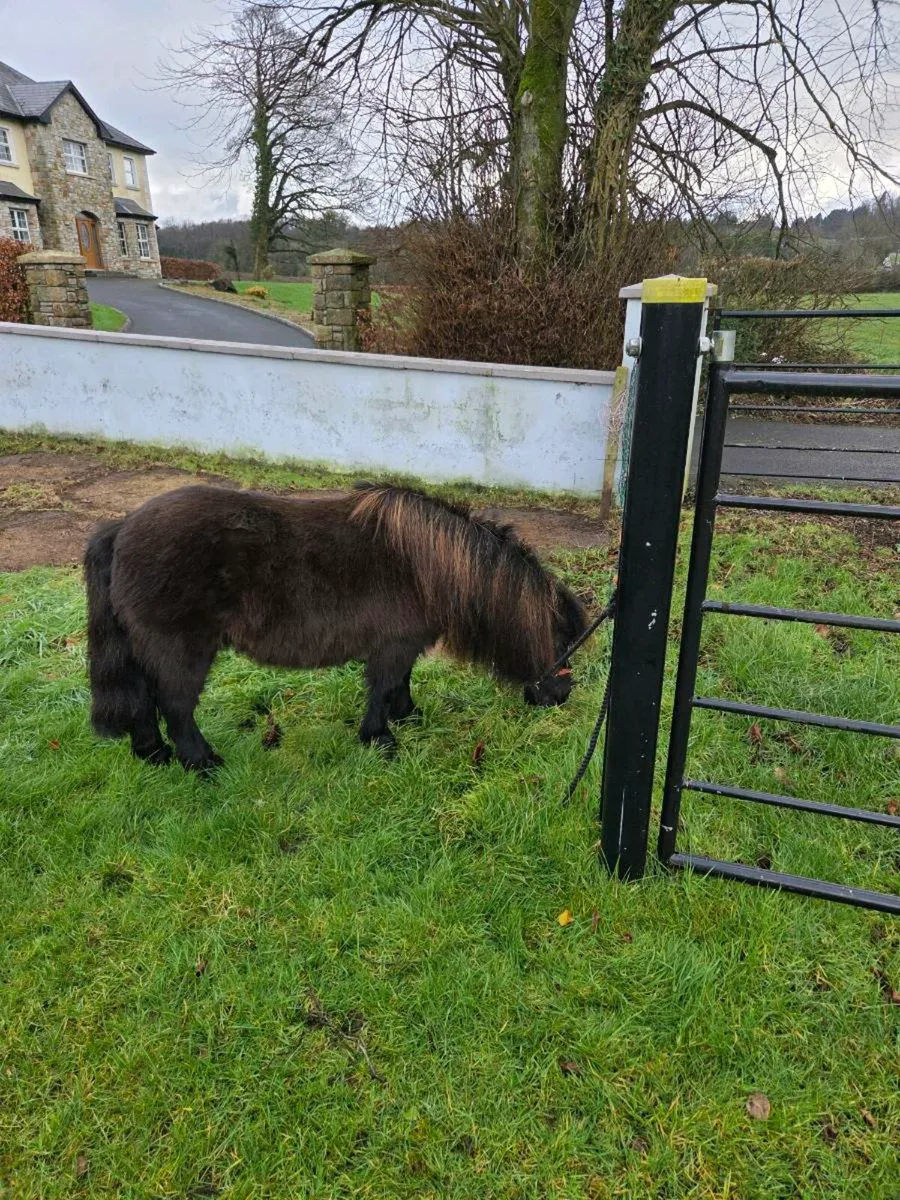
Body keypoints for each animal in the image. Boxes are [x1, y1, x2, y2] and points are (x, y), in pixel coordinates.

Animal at [84, 483, 587, 771]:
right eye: (564, 639)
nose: (562, 696)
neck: (430, 565)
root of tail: (121, 528)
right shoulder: (392, 645)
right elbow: (382, 689)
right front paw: (380, 739)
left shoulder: (402, 644)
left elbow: (400, 683)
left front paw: (408, 716)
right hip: (182, 651)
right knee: (175, 706)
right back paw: (201, 763)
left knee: (145, 700)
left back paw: (153, 755)